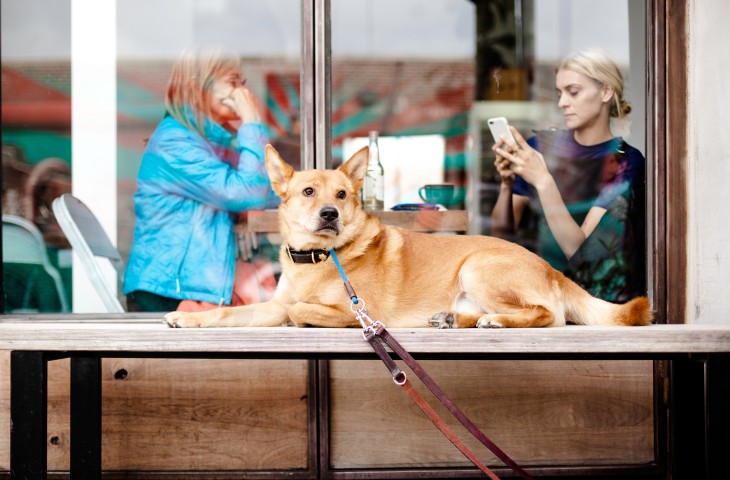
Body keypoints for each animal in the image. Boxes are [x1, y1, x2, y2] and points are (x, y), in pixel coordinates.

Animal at [164, 144, 648, 328]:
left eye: (342, 194)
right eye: (308, 191)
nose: (330, 213)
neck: (320, 259)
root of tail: (551, 269)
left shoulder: (357, 312)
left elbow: (299, 309)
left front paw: (303, 313)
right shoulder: (269, 304)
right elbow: (233, 313)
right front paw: (189, 318)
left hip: (478, 267)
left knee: (548, 315)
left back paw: (494, 320)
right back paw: (453, 320)